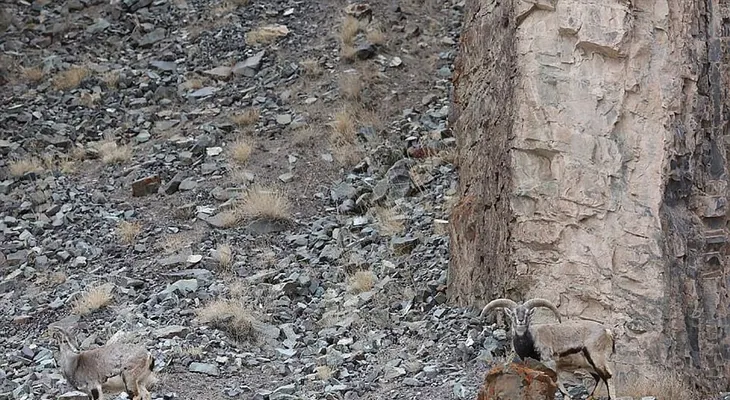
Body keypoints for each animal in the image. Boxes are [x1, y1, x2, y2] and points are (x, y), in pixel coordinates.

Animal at [481, 298, 617, 400]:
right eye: (513, 314)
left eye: (528, 313)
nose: (520, 320)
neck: (531, 340)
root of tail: (606, 331)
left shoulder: (549, 362)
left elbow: (559, 386)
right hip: (588, 365)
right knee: (599, 378)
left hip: (596, 357)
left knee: (608, 376)